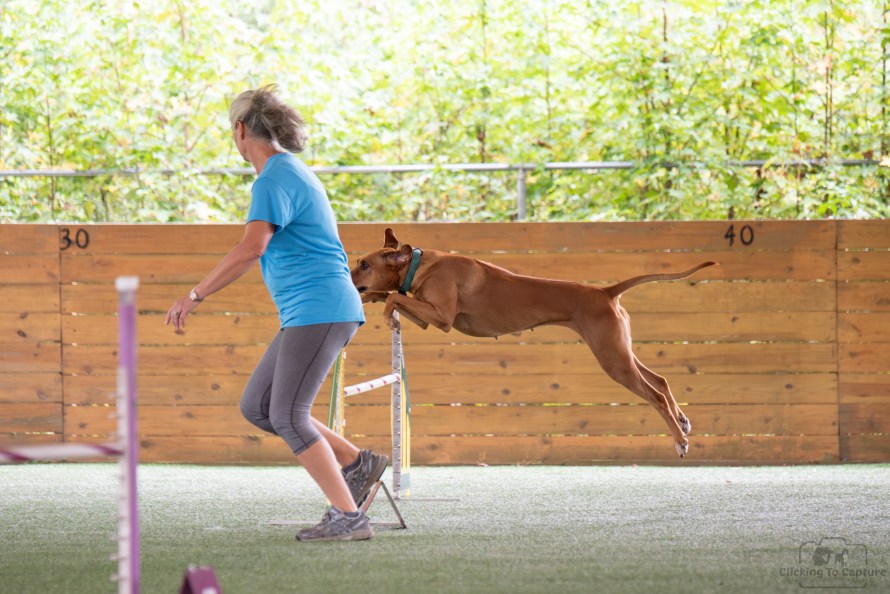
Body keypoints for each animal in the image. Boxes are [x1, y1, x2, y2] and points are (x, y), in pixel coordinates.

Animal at [351, 228, 716, 457]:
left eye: (365, 264)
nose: (346, 275)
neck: (419, 264)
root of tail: (605, 292)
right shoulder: (426, 317)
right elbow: (388, 295)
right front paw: (368, 299)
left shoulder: (440, 317)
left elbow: (393, 298)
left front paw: (383, 309)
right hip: (620, 351)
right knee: (661, 380)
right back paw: (683, 421)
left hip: (613, 360)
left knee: (655, 394)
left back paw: (680, 441)